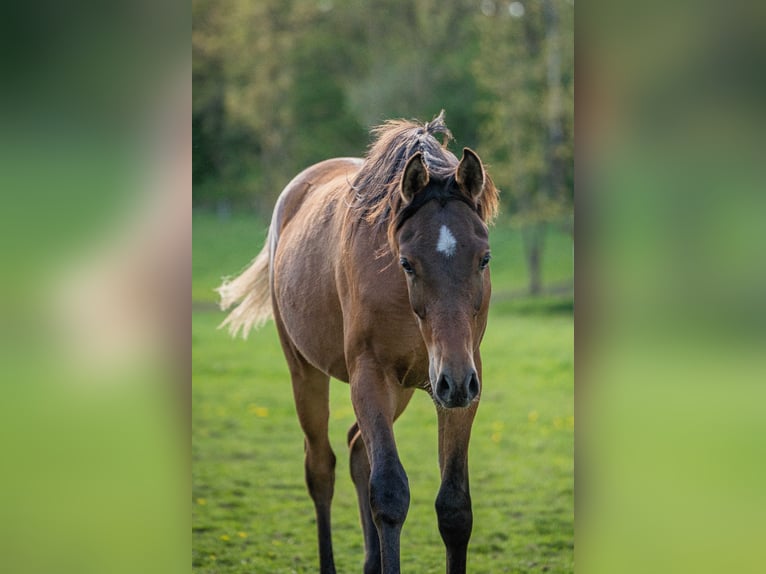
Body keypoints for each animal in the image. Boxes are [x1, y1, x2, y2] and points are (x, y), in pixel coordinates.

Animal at [218, 112, 499, 574]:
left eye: (484, 258)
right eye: (407, 263)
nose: (455, 381)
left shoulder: (460, 385)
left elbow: (454, 508)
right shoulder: (372, 376)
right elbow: (389, 494)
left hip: (405, 388)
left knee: (355, 450)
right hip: (307, 373)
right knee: (322, 468)